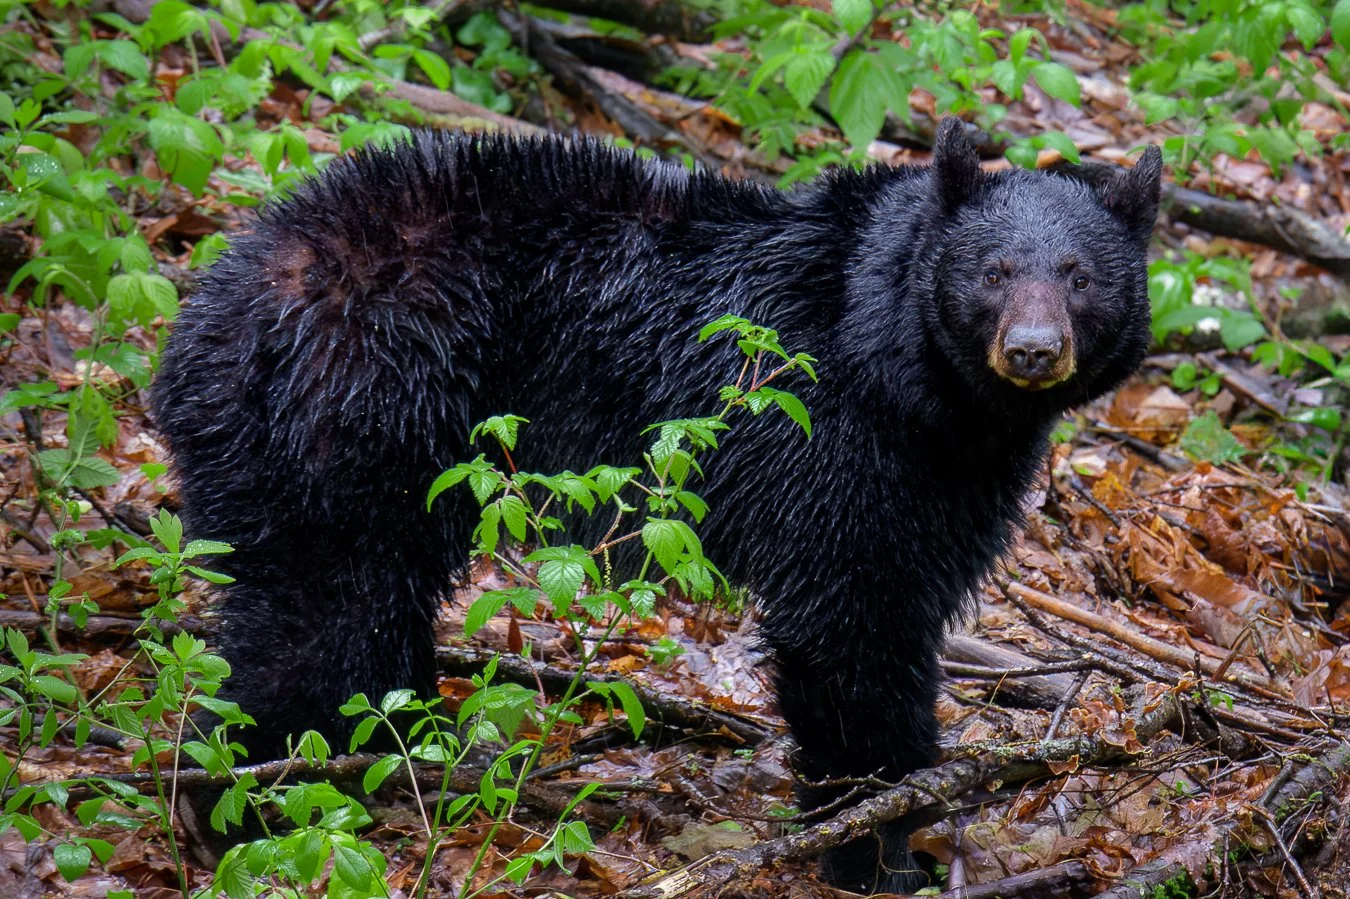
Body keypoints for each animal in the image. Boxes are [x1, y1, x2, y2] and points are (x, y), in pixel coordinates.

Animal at [152, 117, 1162, 893]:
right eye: (994, 270)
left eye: (1080, 274)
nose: (1032, 350)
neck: (915, 380)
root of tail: (207, 309)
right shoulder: (831, 440)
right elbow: (850, 625)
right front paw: (878, 845)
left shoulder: (950, 475)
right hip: (359, 412)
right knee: (320, 613)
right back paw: (248, 801)